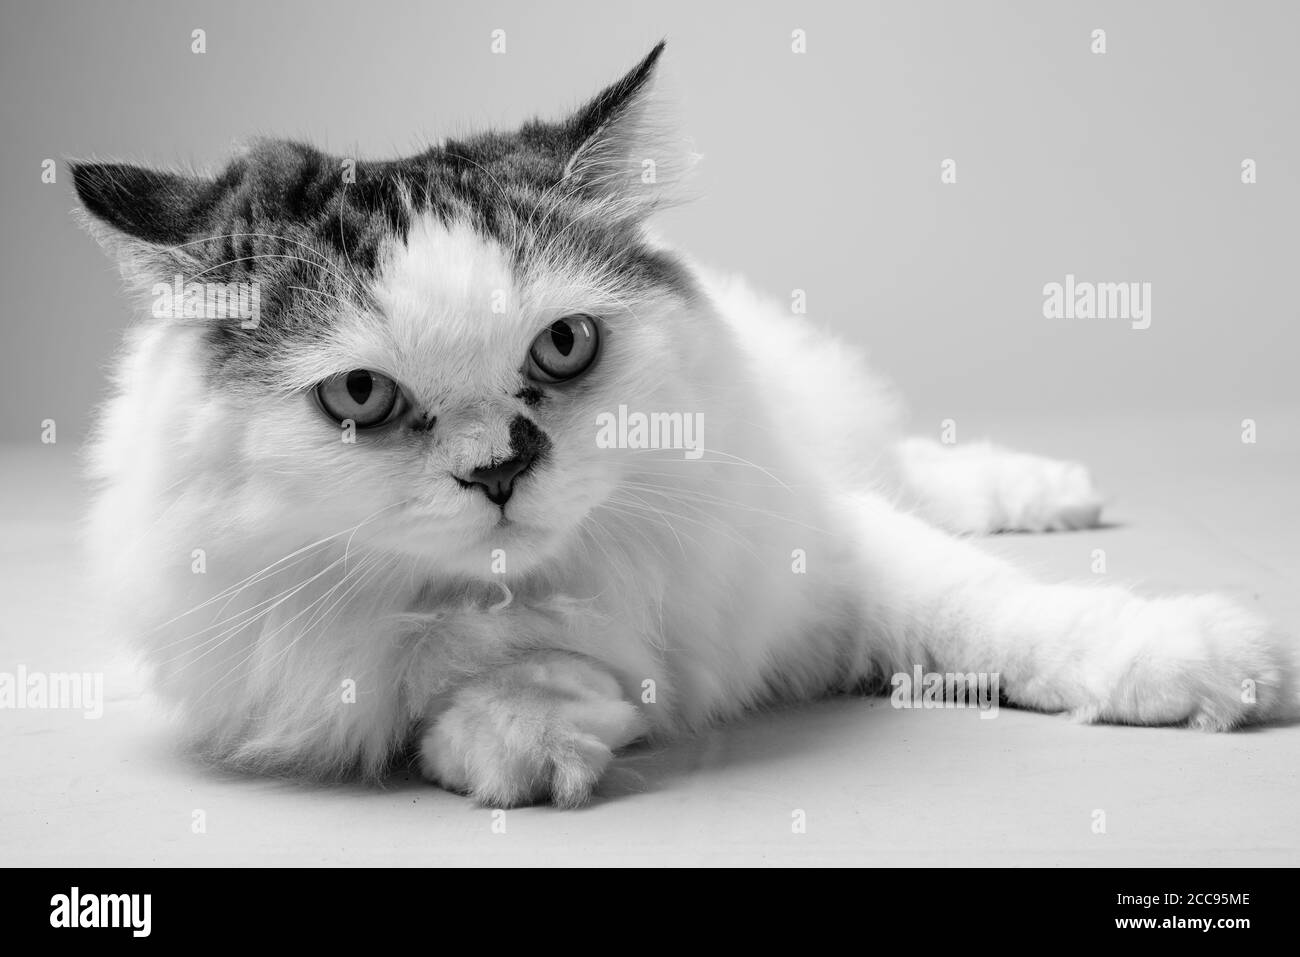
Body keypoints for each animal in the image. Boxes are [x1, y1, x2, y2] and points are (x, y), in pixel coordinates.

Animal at [76, 44, 1294, 806]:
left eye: (564, 347)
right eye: (362, 397)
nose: (502, 470)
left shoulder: (828, 545)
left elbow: (1005, 612)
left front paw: (1199, 659)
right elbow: (472, 691)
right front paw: (545, 733)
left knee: (922, 476)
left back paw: (1055, 491)